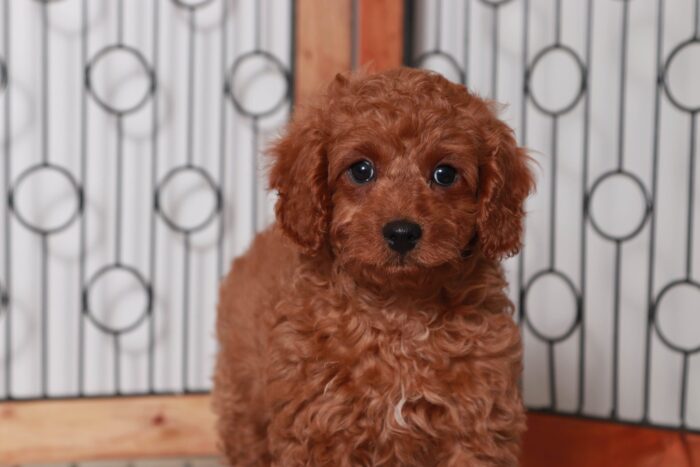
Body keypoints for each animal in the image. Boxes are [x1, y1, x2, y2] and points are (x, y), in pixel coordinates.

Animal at [213, 67, 536, 466]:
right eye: (361, 170)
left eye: (445, 174)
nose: (402, 232)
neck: (398, 314)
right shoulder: (320, 426)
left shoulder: (478, 421)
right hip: (244, 402)